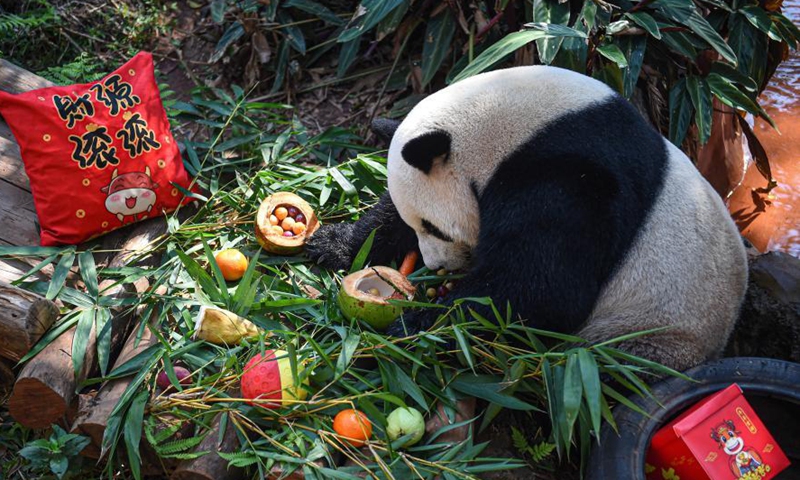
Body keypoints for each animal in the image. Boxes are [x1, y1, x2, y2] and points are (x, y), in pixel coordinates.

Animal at [306, 65, 748, 372]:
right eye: (421, 227)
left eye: (434, 227)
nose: (435, 265)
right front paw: (333, 244)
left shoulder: (567, 179)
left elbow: (541, 289)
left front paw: (416, 326)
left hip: (649, 334)